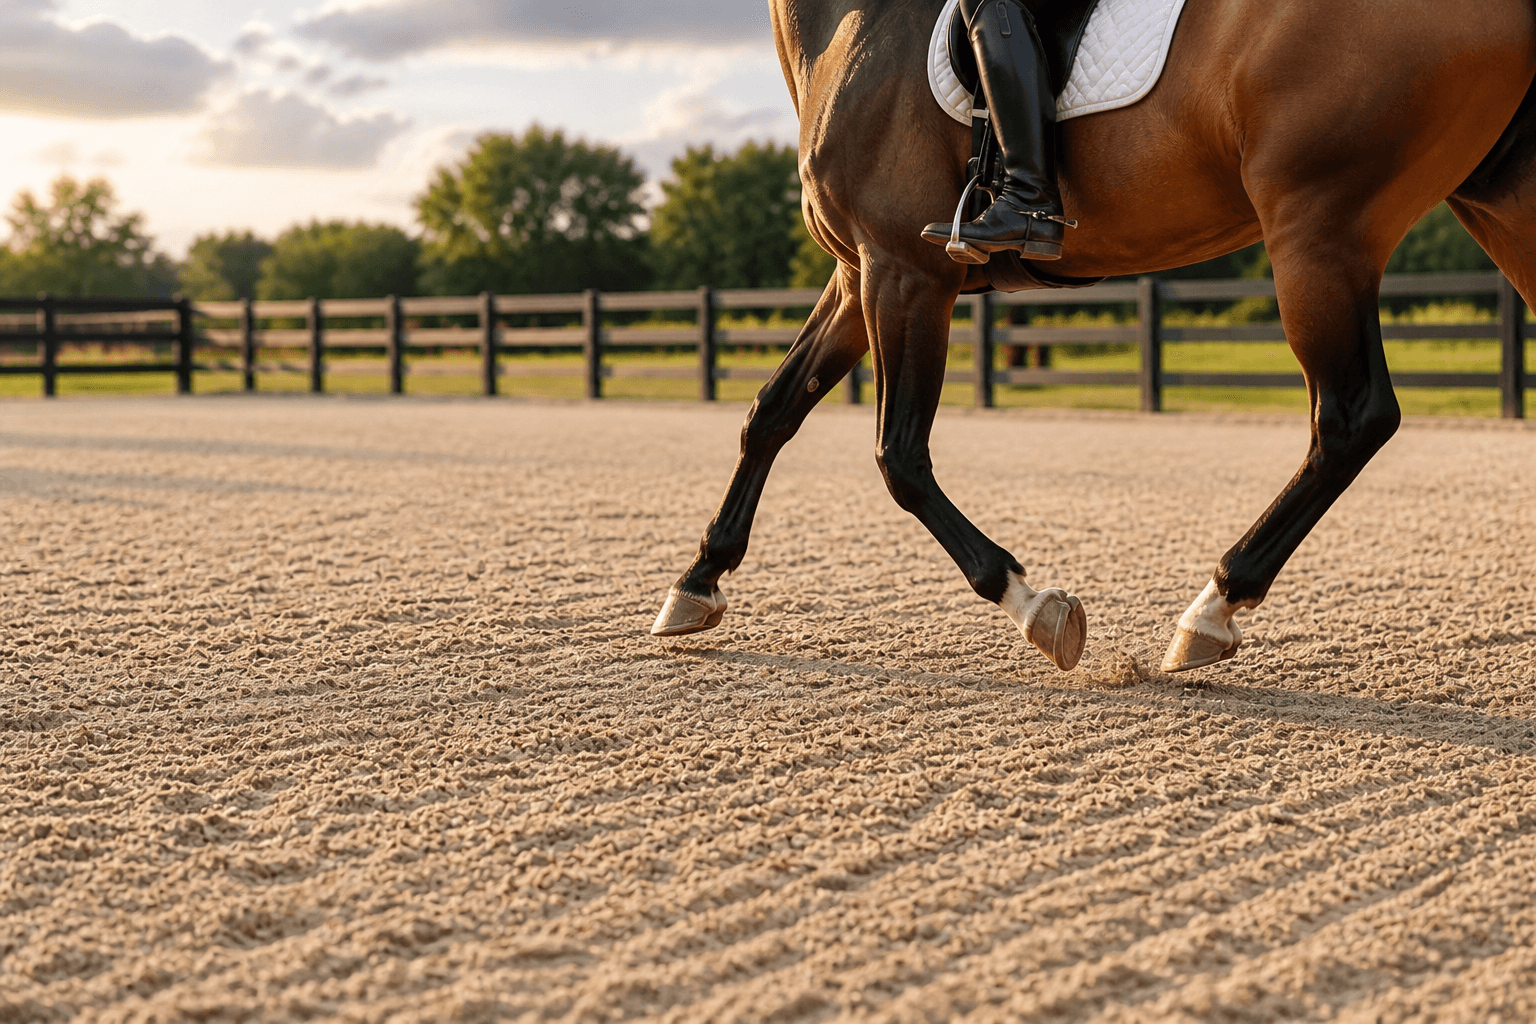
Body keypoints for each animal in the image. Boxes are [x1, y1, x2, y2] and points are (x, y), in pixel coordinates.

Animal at [651, 0, 1536, 674]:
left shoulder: (902, 273)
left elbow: (898, 458)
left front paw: (1033, 603)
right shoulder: (857, 273)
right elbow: (771, 413)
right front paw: (696, 582)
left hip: (1319, 228)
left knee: (1352, 419)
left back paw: (1211, 609)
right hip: (1493, 203)